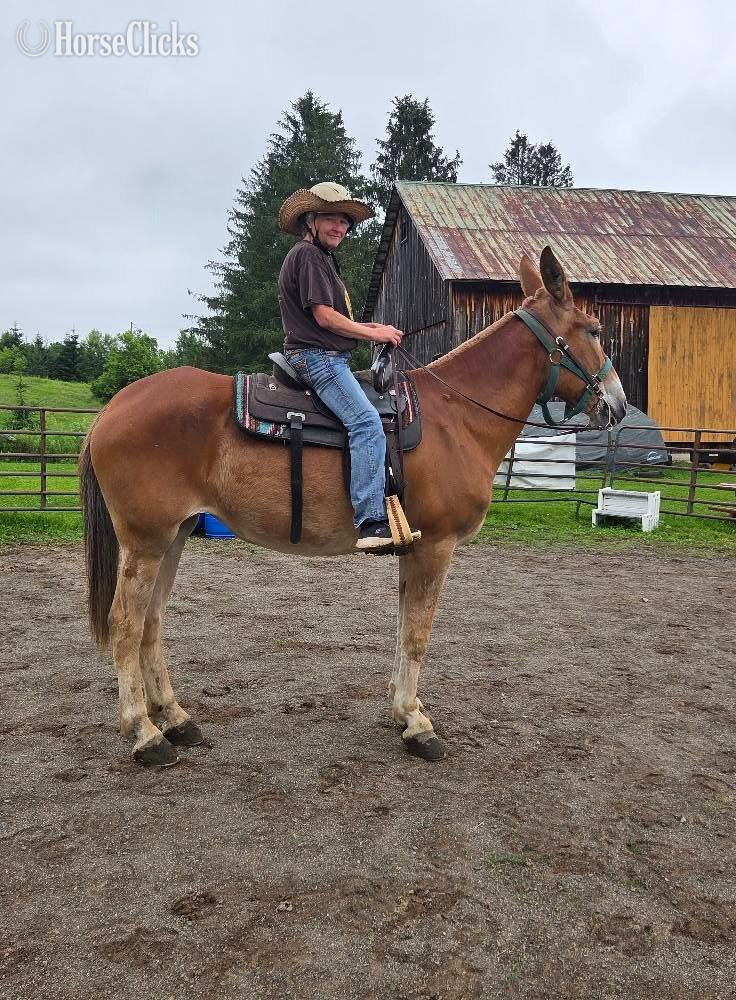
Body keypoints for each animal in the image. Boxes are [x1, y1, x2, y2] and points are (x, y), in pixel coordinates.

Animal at [79, 247, 627, 766]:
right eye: (595, 330)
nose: (618, 404)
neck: (458, 418)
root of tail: (113, 408)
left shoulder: (415, 548)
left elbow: (404, 626)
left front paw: (402, 712)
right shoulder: (437, 547)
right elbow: (418, 634)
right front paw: (418, 726)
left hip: (173, 537)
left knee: (151, 623)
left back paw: (175, 719)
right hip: (146, 542)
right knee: (125, 625)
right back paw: (145, 734)